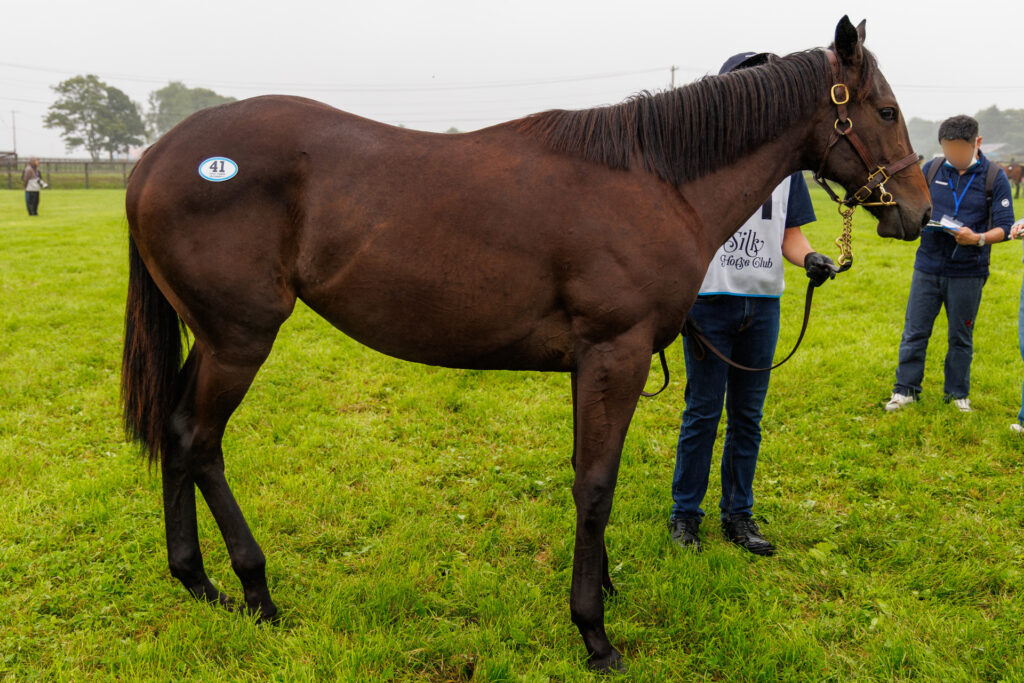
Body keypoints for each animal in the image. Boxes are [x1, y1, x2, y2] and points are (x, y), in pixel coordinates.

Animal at [121, 16, 930, 672]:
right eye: (886, 111)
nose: (920, 213)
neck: (655, 181)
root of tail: (158, 156)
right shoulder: (615, 354)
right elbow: (596, 484)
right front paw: (594, 633)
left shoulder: (591, 365)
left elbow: (584, 475)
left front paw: (603, 585)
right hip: (239, 340)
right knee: (199, 442)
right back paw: (256, 589)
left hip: (210, 337)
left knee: (175, 432)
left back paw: (197, 580)